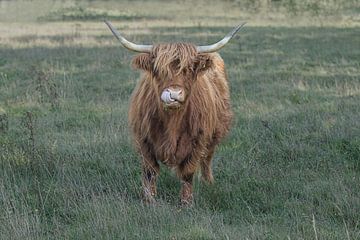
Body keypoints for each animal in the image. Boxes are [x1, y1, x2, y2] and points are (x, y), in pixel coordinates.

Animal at [104, 20, 245, 205]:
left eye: (189, 69)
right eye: (158, 70)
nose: (173, 94)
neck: (172, 122)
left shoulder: (198, 140)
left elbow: (188, 172)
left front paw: (186, 202)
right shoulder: (143, 139)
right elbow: (150, 171)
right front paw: (149, 200)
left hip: (216, 132)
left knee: (207, 158)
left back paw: (208, 182)